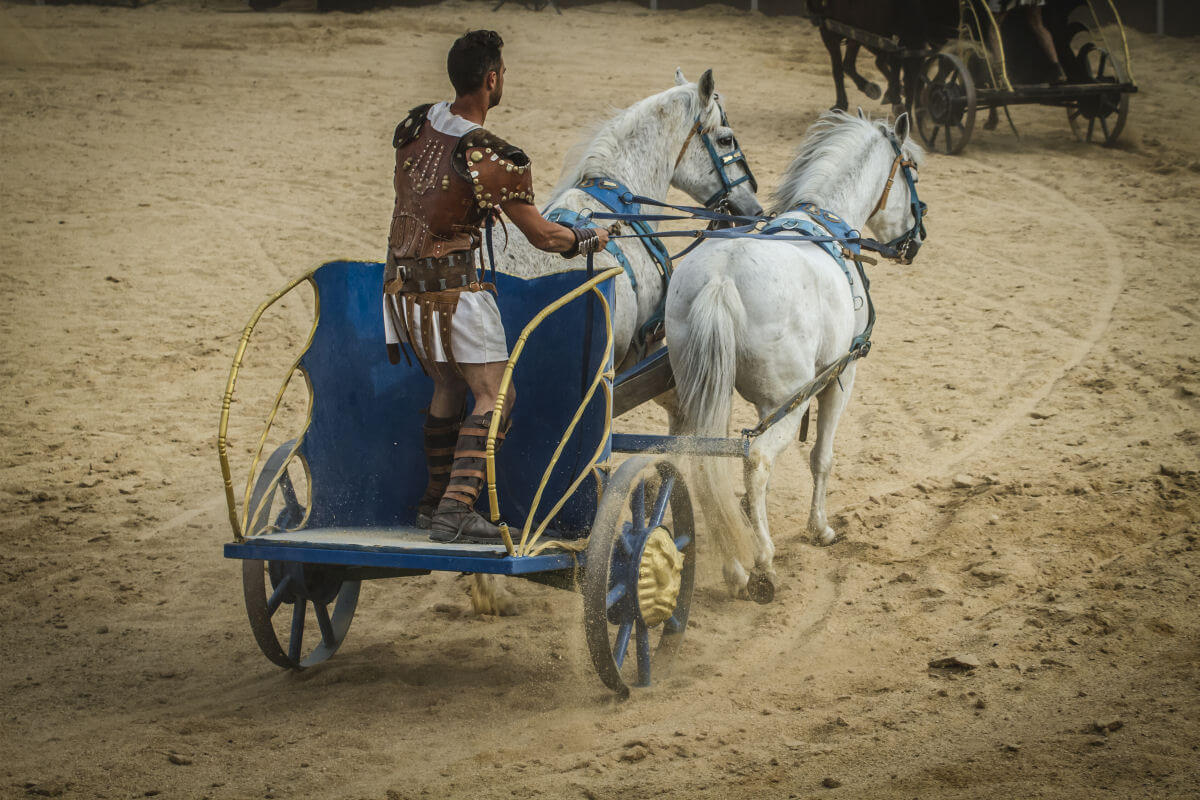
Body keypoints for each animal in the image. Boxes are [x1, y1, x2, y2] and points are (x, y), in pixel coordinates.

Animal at [667, 110, 926, 599]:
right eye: (913, 173)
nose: (917, 241)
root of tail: (722, 278)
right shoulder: (839, 380)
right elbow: (822, 458)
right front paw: (819, 528)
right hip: (787, 403)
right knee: (756, 461)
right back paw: (762, 563)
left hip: (709, 396)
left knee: (707, 462)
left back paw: (734, 563)